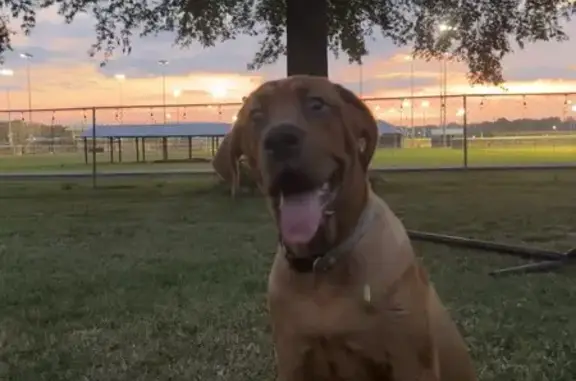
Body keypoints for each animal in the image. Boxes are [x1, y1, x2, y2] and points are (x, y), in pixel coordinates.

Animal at [227, 75, 474, 380]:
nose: (279, 139)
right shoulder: (292, 358)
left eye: (317, 104)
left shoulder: (411, 361)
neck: (322, 265)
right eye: (256, 115)